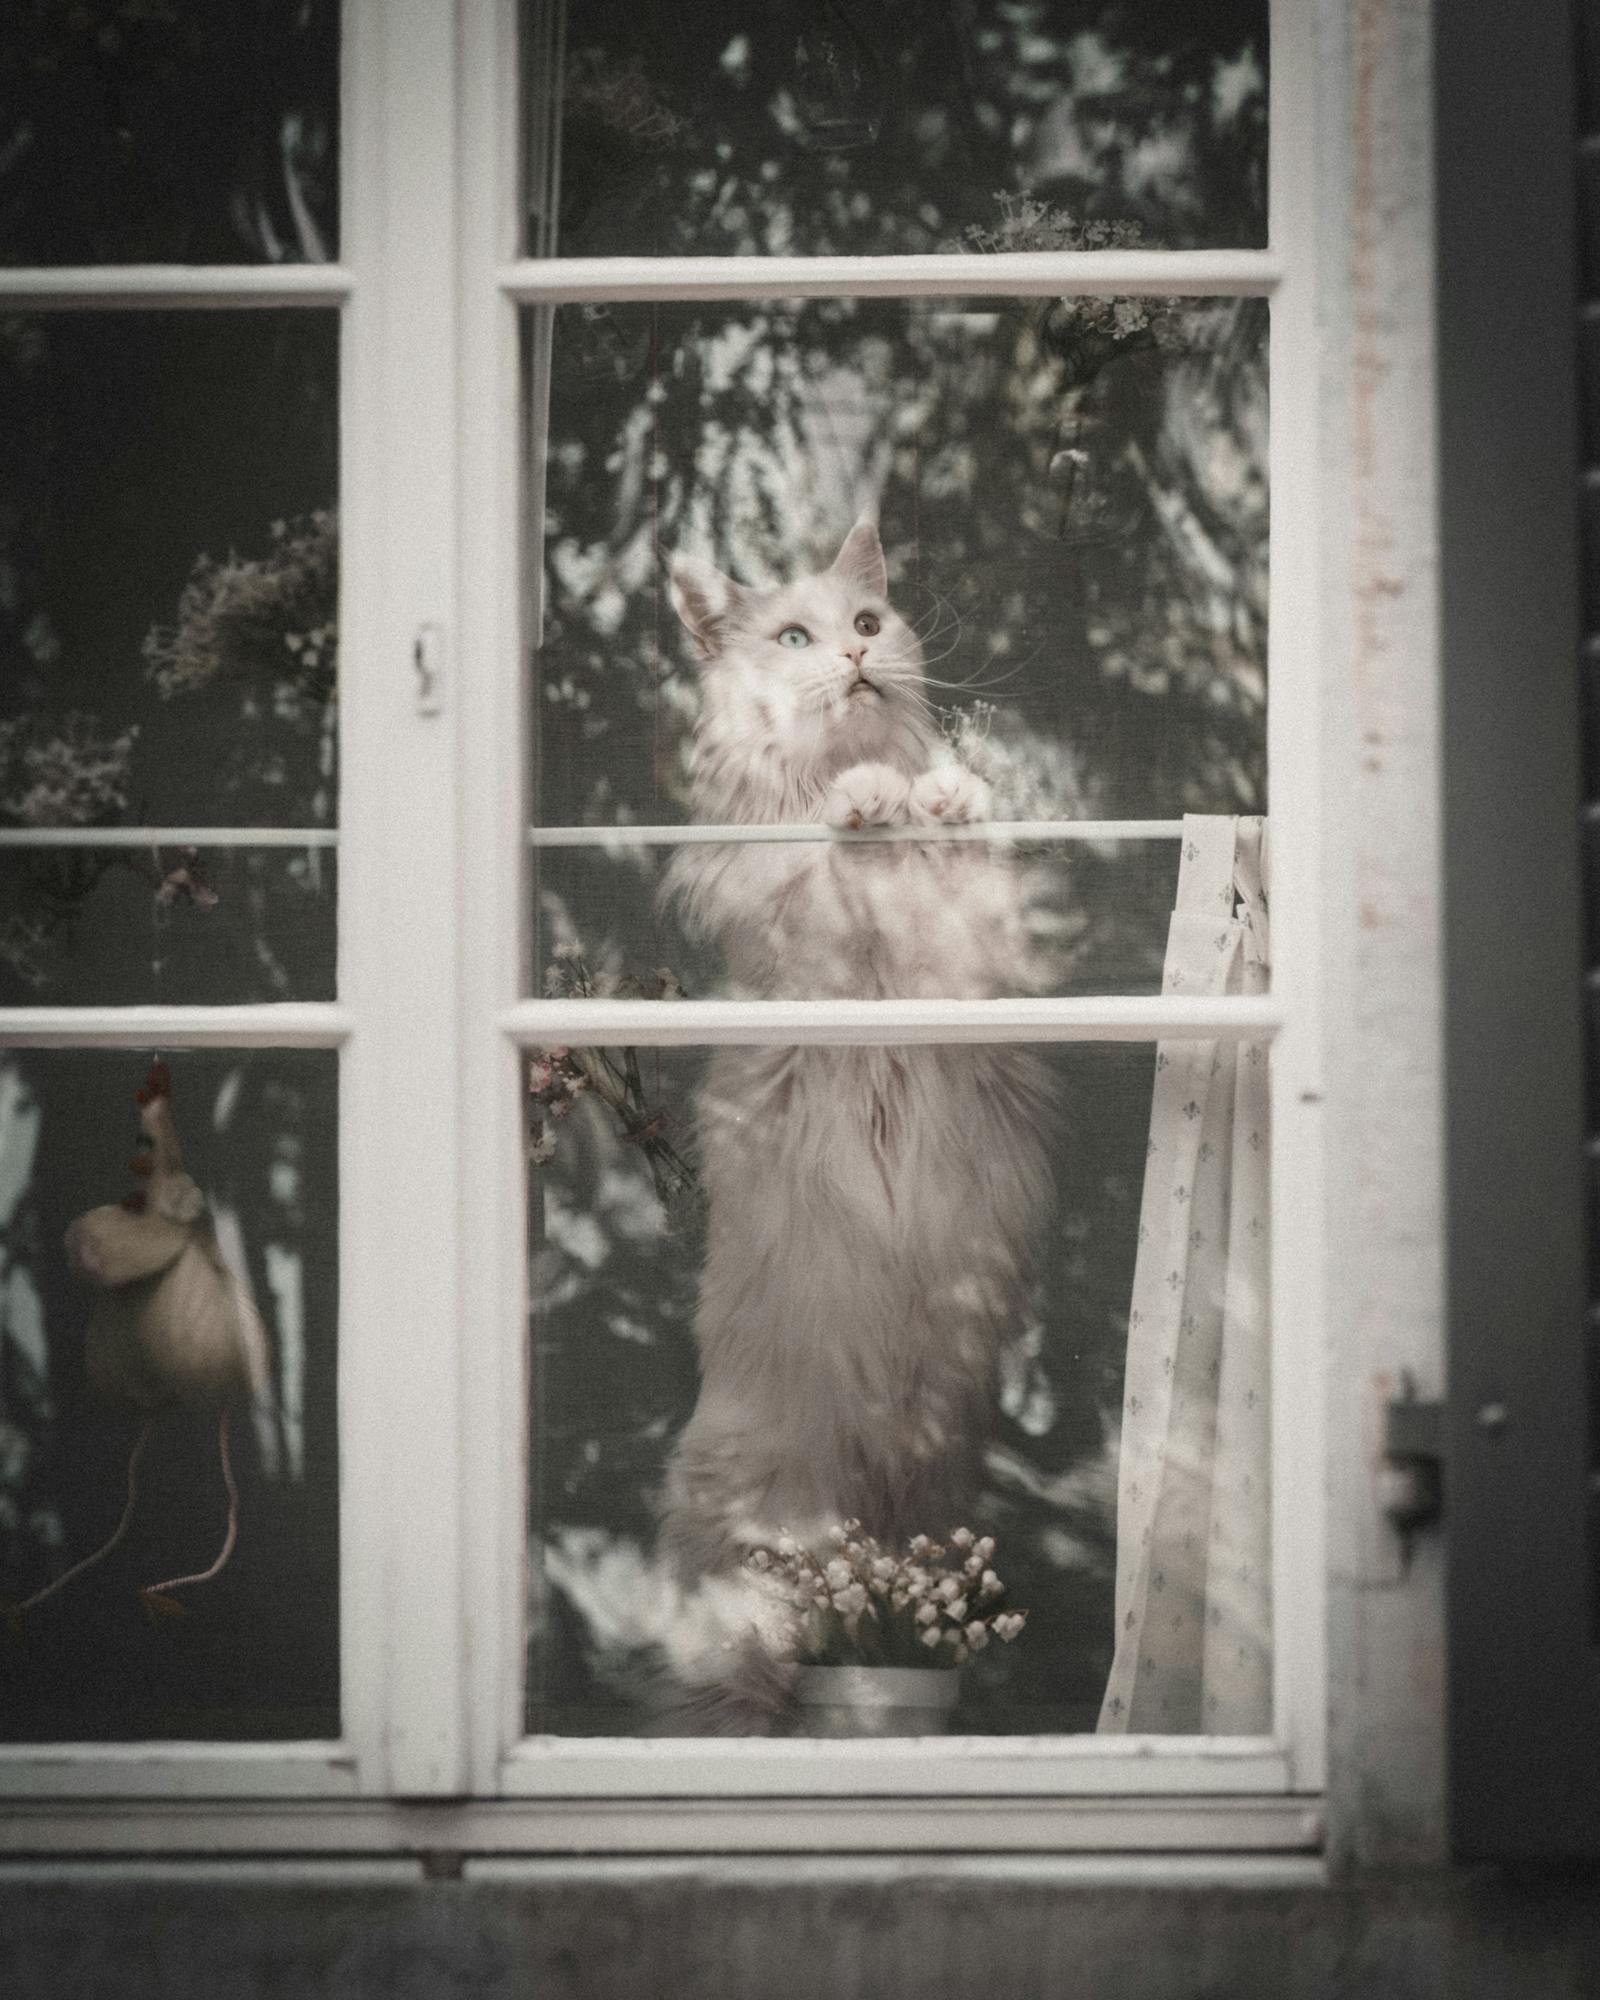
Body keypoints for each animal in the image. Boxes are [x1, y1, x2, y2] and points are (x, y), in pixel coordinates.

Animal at [656, 512, 1056, 1704]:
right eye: (795, 636)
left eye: (870, 622)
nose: (852, 655)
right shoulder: (800, 938)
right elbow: (827, 865)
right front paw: (863, 802)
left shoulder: (973, 972)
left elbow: (957, 858)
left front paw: (943, 797)